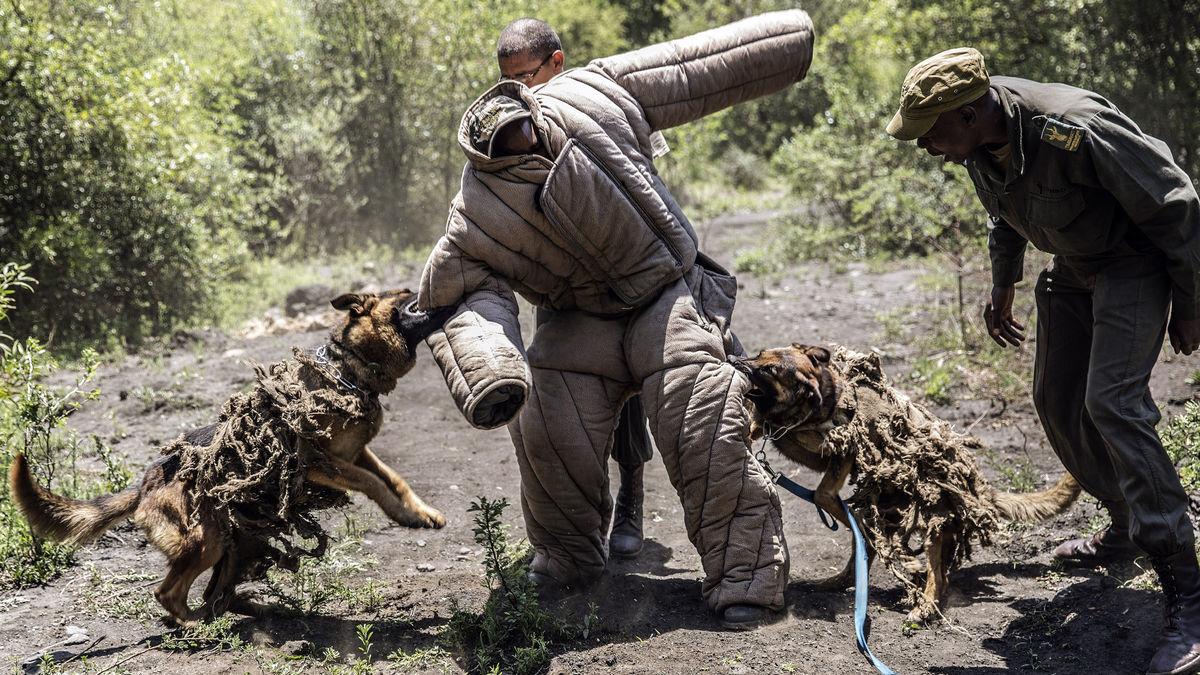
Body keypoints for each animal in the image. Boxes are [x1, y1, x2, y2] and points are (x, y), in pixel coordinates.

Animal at [10, 285, 453, 624]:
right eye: (407, 295)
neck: (350, 370)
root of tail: (144, 485)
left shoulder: (358, 453)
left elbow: (394, 479)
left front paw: (421, 512)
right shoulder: (319, 463)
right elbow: (373, 484)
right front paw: (402, 515)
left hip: (233, 543)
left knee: (210, 591)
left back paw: (246, 609)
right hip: (206, 541)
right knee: (167, 593)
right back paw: (196, 626)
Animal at [724, 343, 1084, 624]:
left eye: (770, 370)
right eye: (759, 355)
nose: (734, 360)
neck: (823, 396)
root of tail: (976, 489)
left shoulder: (842, 452)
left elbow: (823, 492)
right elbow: (761, 424)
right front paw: (752, 427)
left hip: (934, 522)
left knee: (937, 575)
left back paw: (924, 607)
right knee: (867, 551)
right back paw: (840, 578)